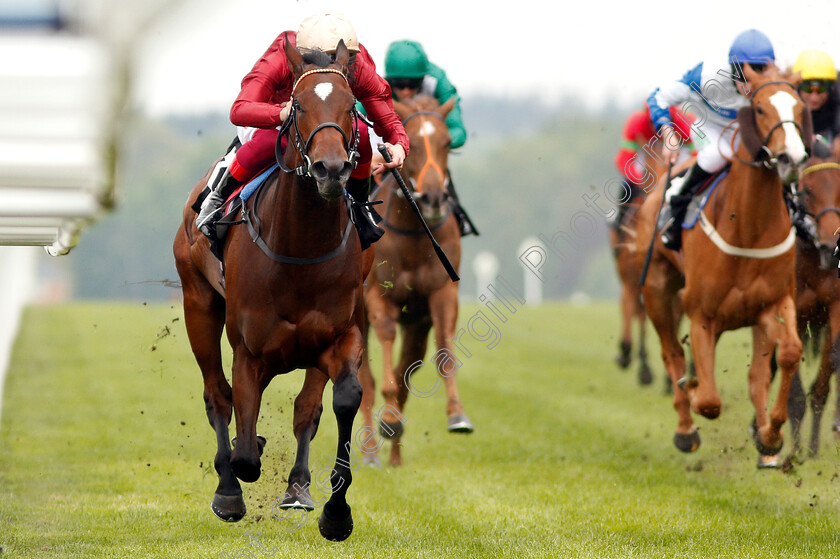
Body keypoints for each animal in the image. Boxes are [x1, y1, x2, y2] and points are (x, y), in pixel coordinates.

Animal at [172, 41, 372, 540]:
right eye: (297, 106)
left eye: (351, 107)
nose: (331, 169)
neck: (300, 248)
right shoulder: (249, 351)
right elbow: (244, 447)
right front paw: (241, 467)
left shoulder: (339, 336)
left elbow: (340, 400)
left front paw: (335, 512)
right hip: (197, 303)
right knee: (217, 397)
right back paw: (228, 490)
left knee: (305, 408)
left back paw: (297, 486)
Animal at [356, 95, 472, 468]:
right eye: (415, 144)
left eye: (447, 142)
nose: (434, 198)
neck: (413, 234)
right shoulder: (379, 298)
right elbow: (384, 356)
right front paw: (387, 420)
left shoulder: (440, 294)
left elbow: (444, 352)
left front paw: (457, 415)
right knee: (365, 379)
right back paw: (371, 451)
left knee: (409, 365)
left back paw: (393, 454)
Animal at [640, 65, 812, 462]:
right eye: (760, 109)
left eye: (799, 108)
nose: (792, 159)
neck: (748, 227)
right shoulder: (701, 312)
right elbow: (708, 401)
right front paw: (692, 391)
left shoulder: (774, 302)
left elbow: (782, 358)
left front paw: (770, 436)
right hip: (657, 290)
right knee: (672, 354)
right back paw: (685, 428)